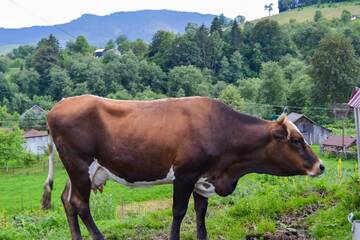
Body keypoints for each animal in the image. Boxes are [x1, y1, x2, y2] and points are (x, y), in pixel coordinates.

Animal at [40, 94, 324, 239]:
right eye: (296, 141)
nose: (321, 166)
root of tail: (59, 105)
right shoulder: (185, 174)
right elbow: (178, 212)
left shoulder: (203, 179)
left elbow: (200, 213)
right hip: (80, 165)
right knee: (80, 204)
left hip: (78, 170)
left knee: (67, 200)